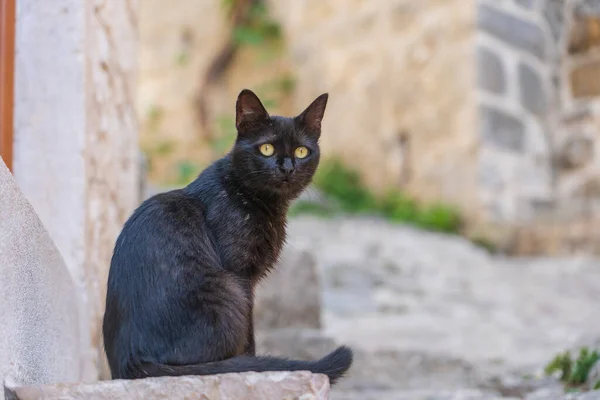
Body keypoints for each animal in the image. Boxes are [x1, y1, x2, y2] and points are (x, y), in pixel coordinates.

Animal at [103, 89, 354, 382]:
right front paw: (251, 364)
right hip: (227, 288)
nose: (287, 168)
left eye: (302, 151)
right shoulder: (241, 274)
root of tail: (133, 361)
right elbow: (249, 331)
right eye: (266, 148)